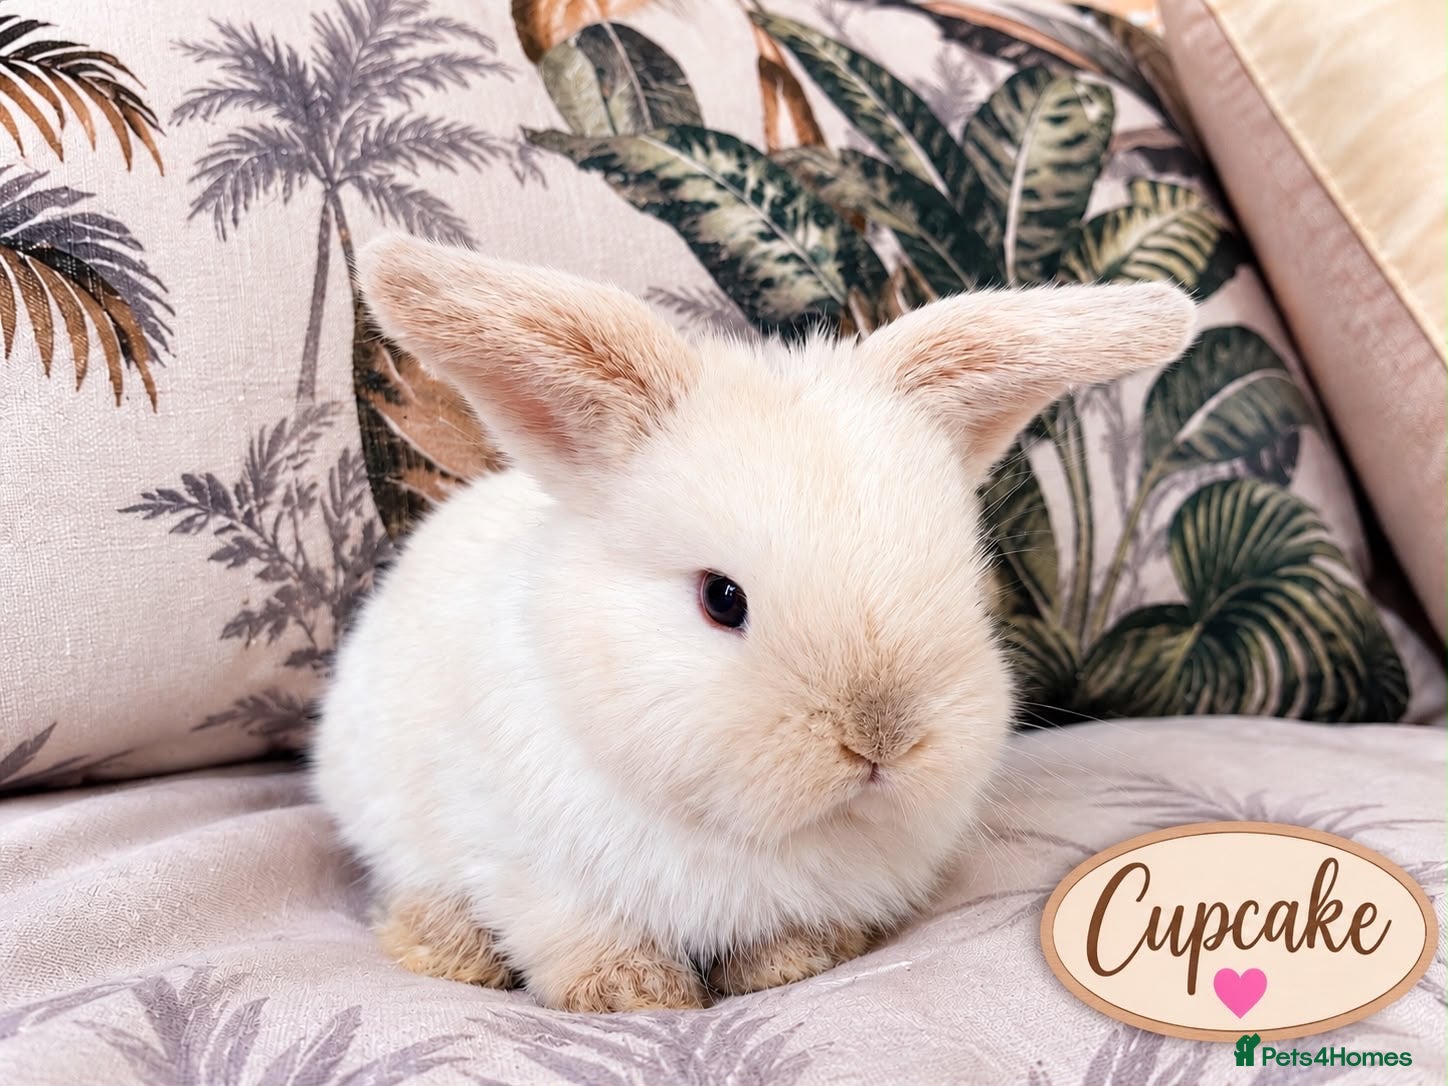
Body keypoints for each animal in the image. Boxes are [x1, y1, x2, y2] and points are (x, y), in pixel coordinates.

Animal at [311, 233, 1195, 1013]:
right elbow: (587, 945)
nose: (880, 740)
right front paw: (640, 997)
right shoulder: (534, 874)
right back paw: (446, 949)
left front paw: (785, 966)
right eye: (721, 598)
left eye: (965, 582)